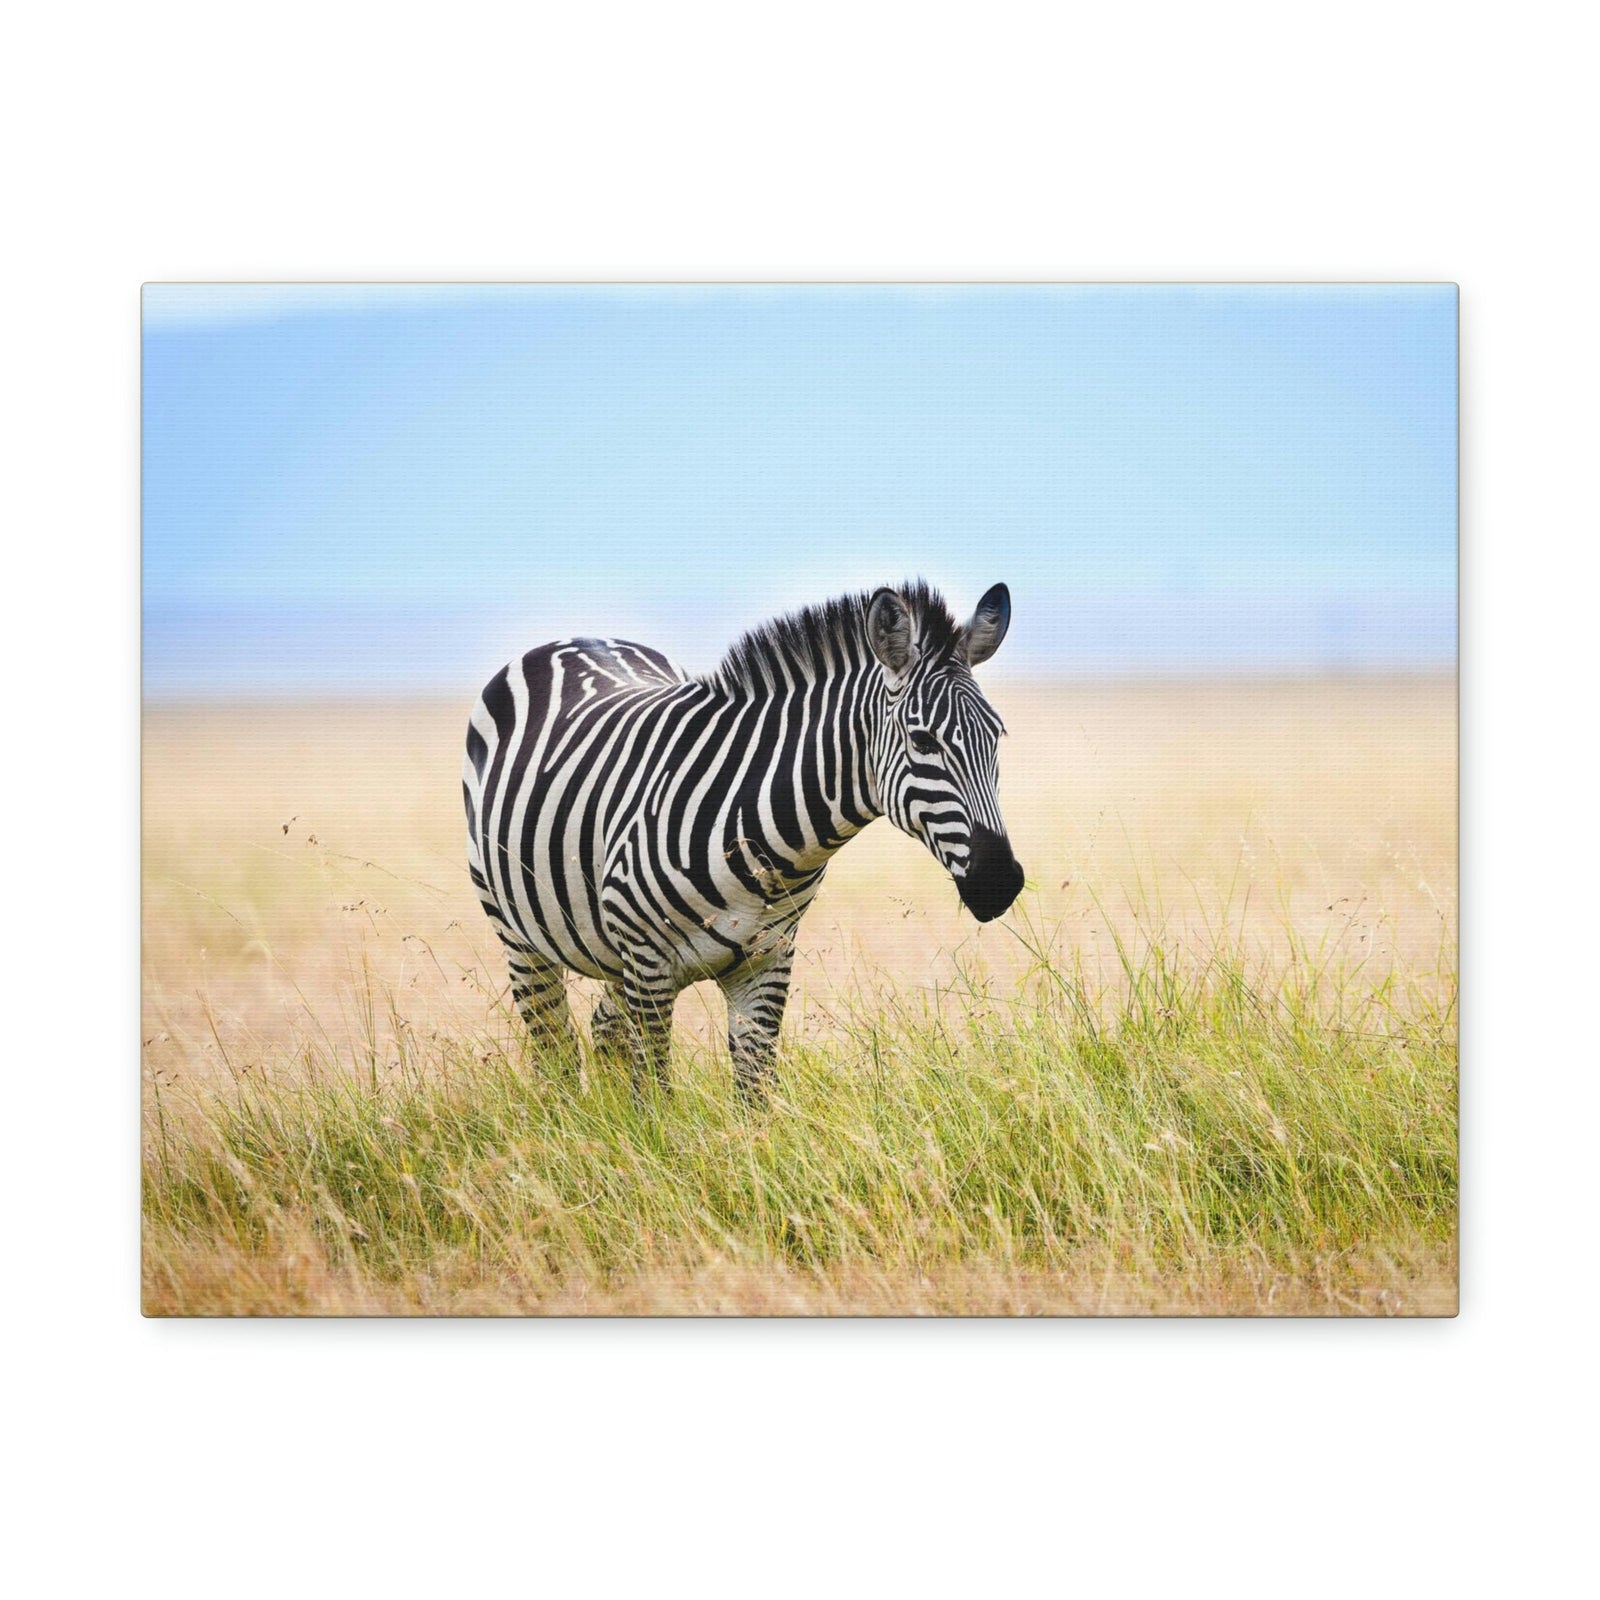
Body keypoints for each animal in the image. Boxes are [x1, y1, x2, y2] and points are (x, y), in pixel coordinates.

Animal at [462, 580, 1024, 1099]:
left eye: (998, 736)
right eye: (922, 740)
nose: (1000, 883)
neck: (765, 845)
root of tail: (575, 637)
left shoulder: (767, 961)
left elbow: (755, 1099)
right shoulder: (648, 963)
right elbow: (656, 1098)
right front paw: (652, 1140)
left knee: (603, 1030)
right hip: (521, 935)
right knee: (554, 1049)